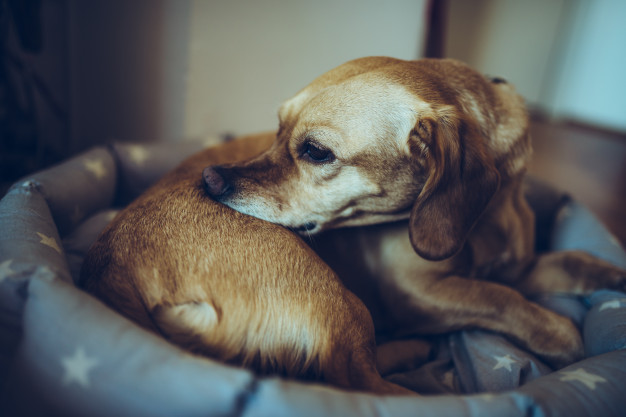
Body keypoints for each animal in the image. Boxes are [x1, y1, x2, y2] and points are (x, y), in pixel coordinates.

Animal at [202, 56, 620, 368]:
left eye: (316, 151)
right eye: (277, 128)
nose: (210, 179)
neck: (488, 217)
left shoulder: (514, 268)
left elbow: (568, 262)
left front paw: (610, 274)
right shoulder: (419, 292)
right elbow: (501, 299)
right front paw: (560, 334)